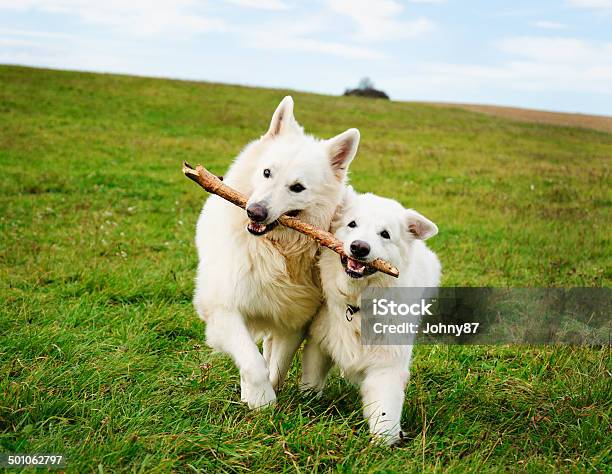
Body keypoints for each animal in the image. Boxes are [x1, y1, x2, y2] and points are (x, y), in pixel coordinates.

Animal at [194, 95, 360, 408]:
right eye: (267, 173)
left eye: (297, 187)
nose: (255, 212)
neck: (276, 251)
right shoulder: (224, 310)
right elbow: (253, 362)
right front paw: (260, 401)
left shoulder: (293, 321)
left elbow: (277, 365)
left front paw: (265, 397)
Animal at [302, 188, 440, 444]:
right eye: (352, 224)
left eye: (385, 234)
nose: (359, 247)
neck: (356, 305)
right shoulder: (319, 343)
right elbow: (312, 381)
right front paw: (306, 402)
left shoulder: (387, 366)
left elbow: (385, 409)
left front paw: (384, 443)